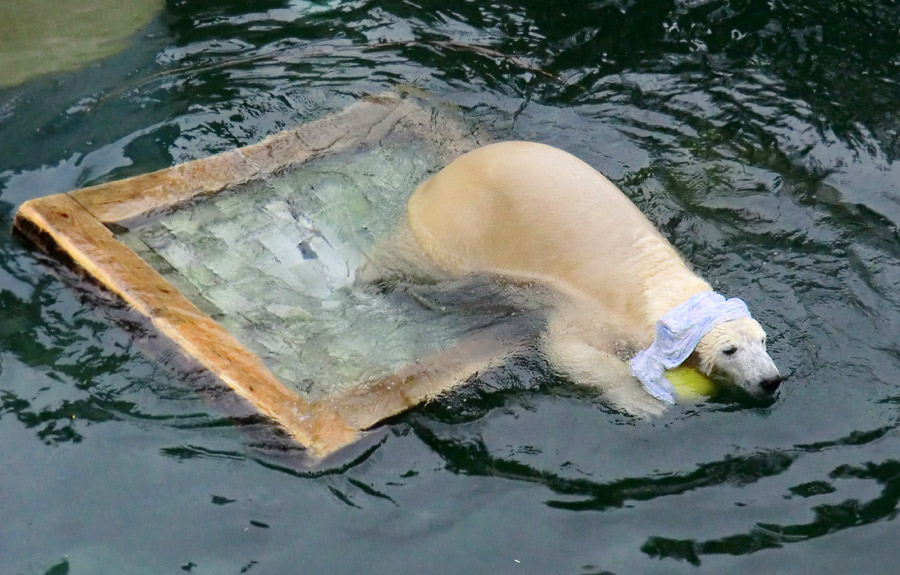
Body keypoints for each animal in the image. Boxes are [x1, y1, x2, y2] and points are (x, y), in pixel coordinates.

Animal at [358, 142, 780, 416]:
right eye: (730, 350)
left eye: (762, 340)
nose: (771, 380)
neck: (658, 284)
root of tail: (440, 176)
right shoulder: (590, 308)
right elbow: (567, 351)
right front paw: (643, 402)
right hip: (460, 226)